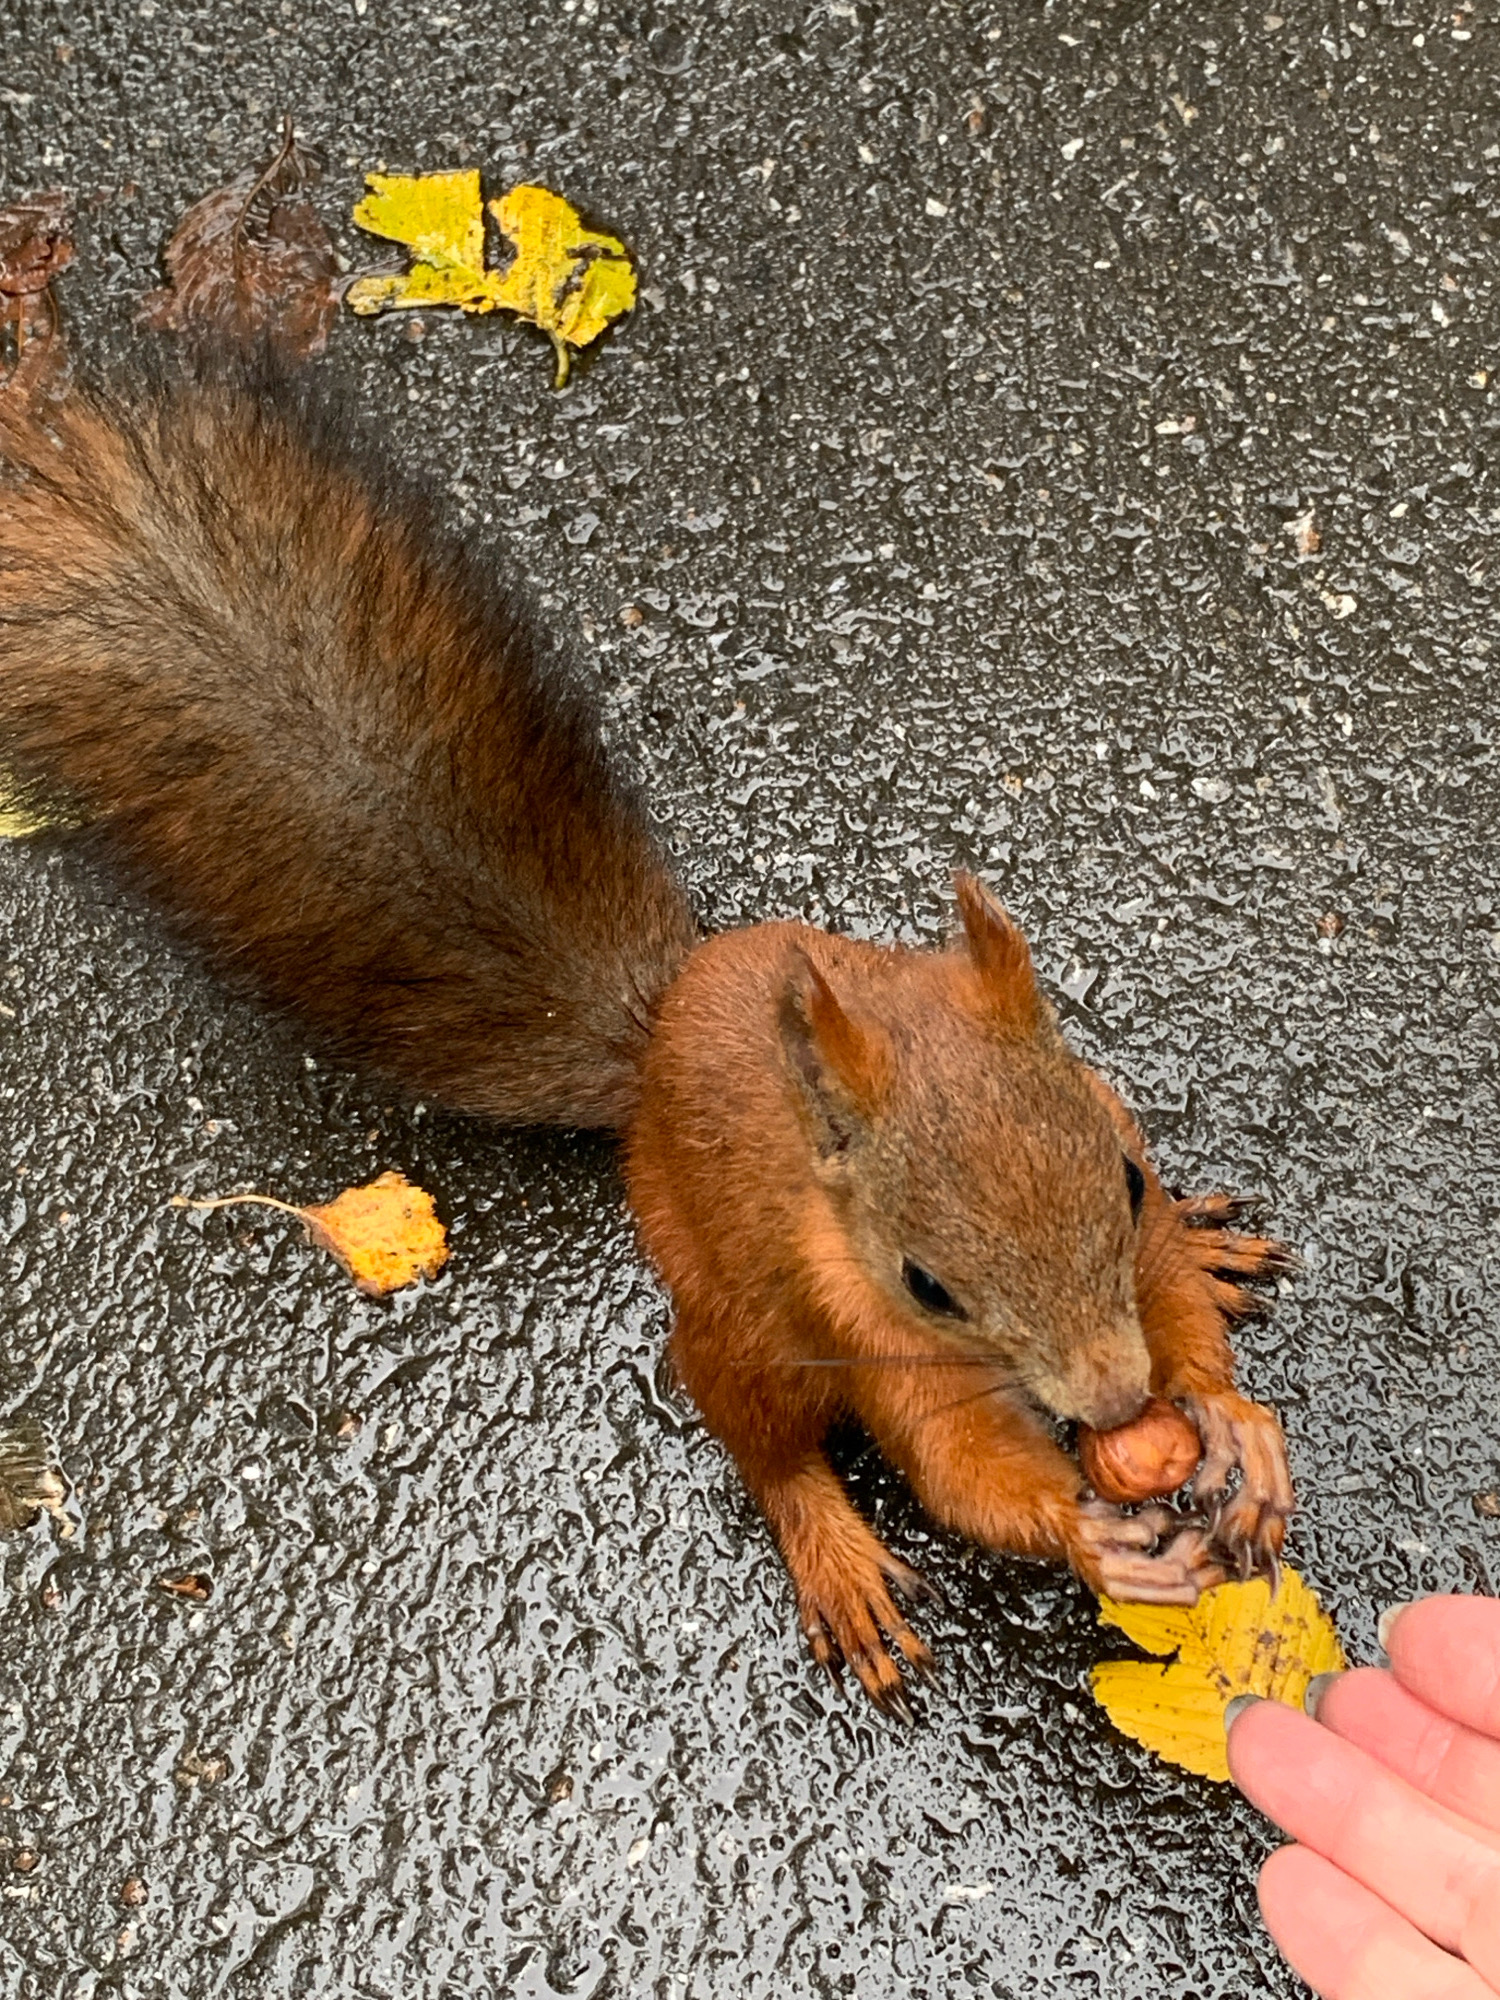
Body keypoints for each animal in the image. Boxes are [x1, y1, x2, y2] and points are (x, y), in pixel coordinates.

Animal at [0, 360, 1295, 1714]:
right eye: (925, 1283)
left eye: (1128, 1177)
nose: (1119, 1397)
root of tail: (659, 1024)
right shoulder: (861, 1327)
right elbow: (958, 1469)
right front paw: (1092, 1535)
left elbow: (1169, 1308)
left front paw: (1237, 1421)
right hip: (734, 1317)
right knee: (762, 1443)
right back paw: (834, 1552)